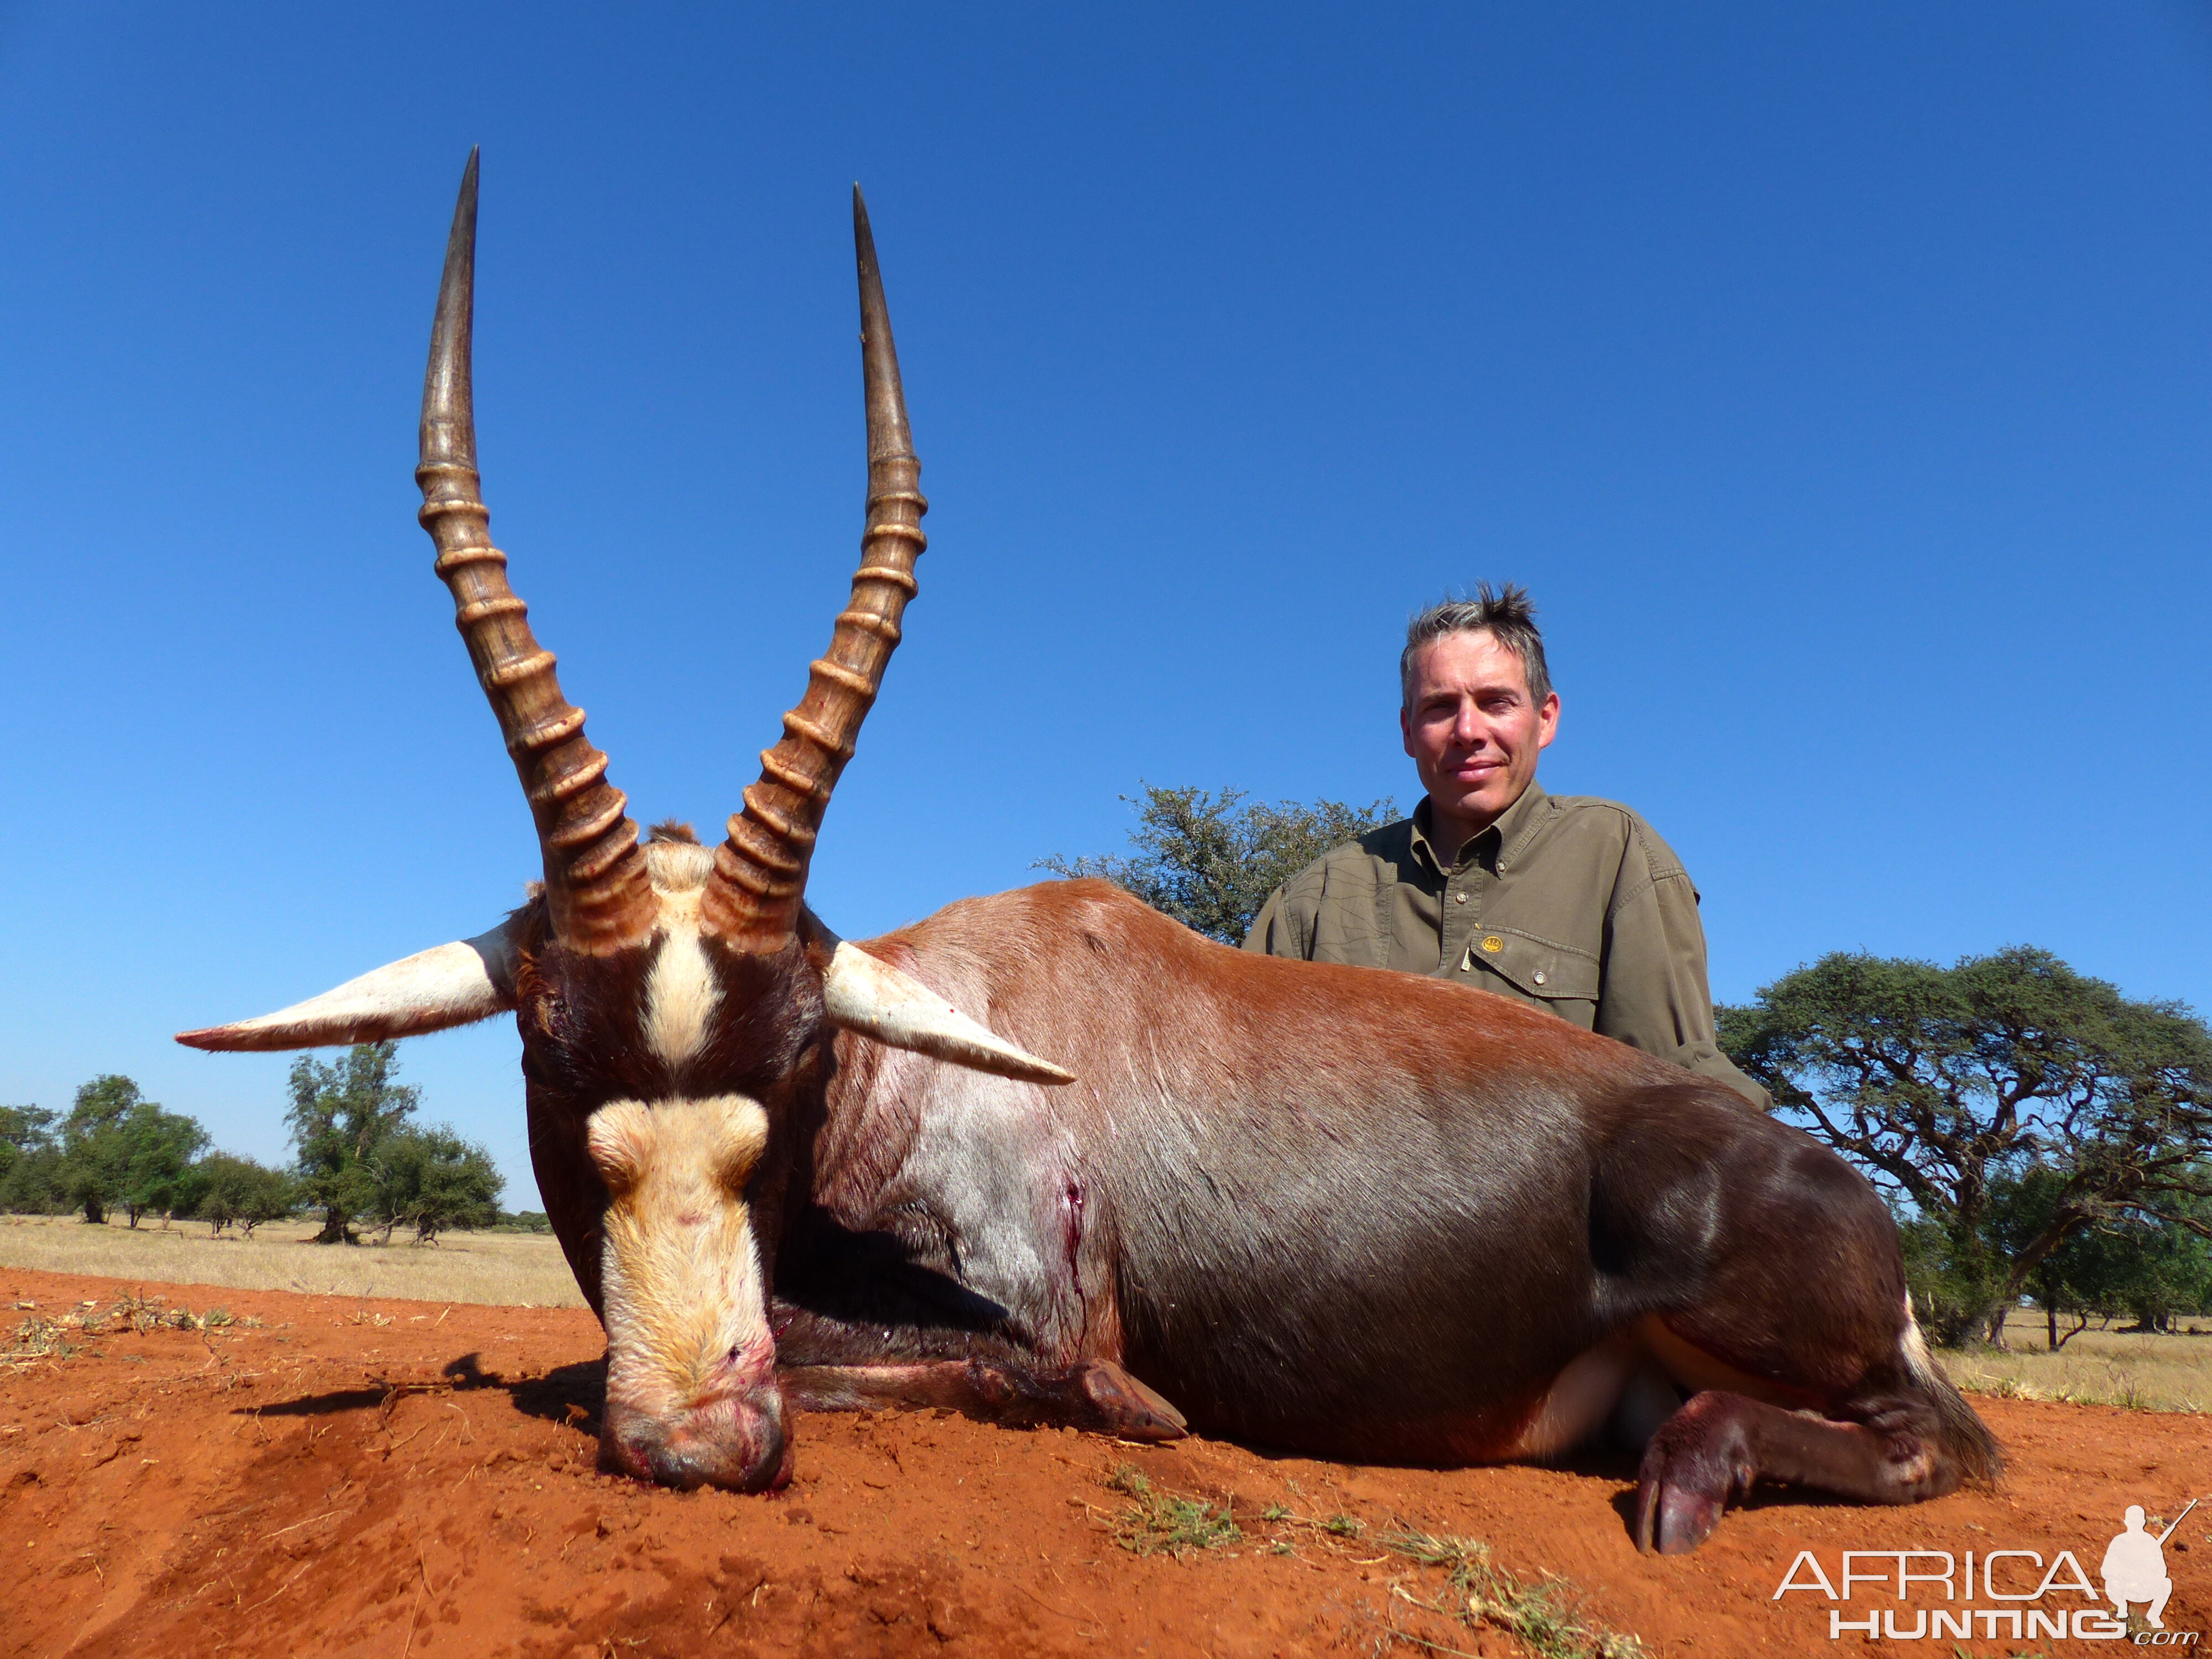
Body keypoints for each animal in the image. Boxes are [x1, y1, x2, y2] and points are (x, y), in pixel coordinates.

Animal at [181, 156, 2000, 1557]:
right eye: (551, 1063)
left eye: (800, 1054)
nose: (704, 1441)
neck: (934, 1048)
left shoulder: (1046, 1334)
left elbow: (1003, 1372)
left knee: (1942, 1437)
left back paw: (1690, 1480)